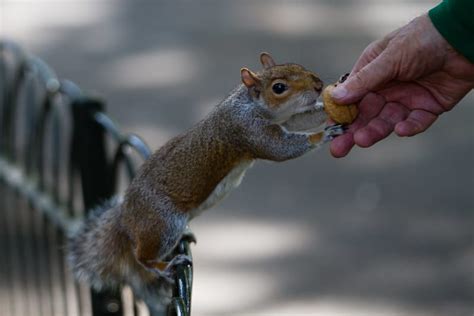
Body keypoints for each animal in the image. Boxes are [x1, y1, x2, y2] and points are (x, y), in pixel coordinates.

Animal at [66, 52, 342, 308]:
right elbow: (281, 149)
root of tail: (126, 218)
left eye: (298, 66)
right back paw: (165, 265)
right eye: (279, 88)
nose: (319, 85)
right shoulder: (249, 131)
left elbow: (303, 118)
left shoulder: (289, 119)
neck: (250, 103)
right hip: (163, 223)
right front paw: (323, 134)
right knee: (141, 258)